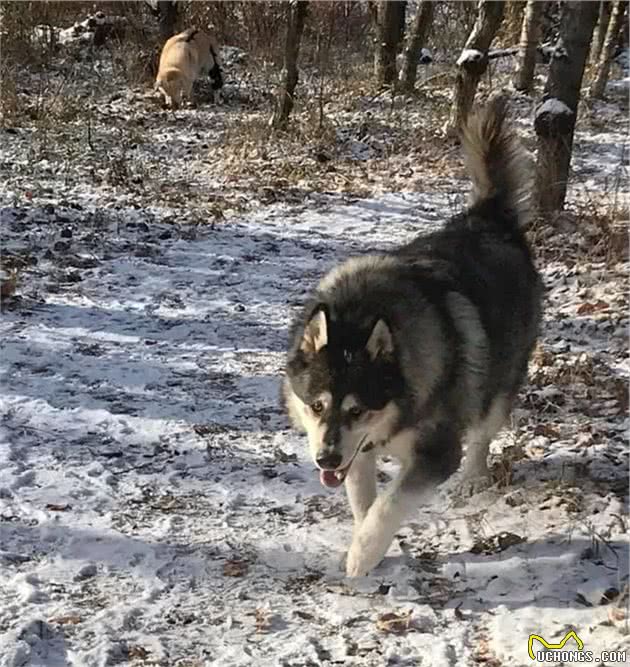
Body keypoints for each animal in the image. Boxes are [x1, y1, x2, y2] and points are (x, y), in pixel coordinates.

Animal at [286, 98, 544, 580]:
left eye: (357, 409)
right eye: (317, 406)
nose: (325, 460)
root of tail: (488, 219)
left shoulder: (436, 452)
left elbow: (389, 504)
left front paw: (363, 554)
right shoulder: (358, 452)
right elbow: (364, 500)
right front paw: (364, 540)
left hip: (500, 379)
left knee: (484, 429)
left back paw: (473, 479)